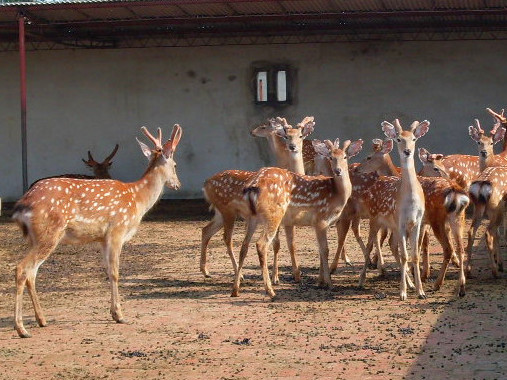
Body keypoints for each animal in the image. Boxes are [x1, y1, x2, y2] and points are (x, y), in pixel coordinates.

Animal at [12, 123, 183, 336]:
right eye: (175, 165)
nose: (178, 184)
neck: (137, 198)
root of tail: (22, 204)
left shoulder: (102, 238)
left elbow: (108, 271)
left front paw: (113, 313)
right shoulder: (117, 229)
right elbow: (116, 271)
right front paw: (120, 315)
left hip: (36, 238)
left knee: (32, 273)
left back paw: (42, 320)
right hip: (49, 233)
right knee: (22, 269)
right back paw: (21, 328)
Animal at [201, 116, 314, 282]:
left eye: (300, 136)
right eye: (286, 136)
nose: (292, 147)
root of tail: (206, 183)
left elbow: (291, 244)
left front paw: (296, 275)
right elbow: (277, 244)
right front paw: (275, 277)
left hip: (220, 212)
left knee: (206, 230)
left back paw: (206, 271)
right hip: (227, 211)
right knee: (226, 238)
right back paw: (239, 274)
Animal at [232, 138, 364, 298]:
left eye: (345, 157)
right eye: (331, 157)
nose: (338, 171)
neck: (337, 195)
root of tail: (253, 185)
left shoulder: (318, 224)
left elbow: (320, 250)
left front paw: (320, 281)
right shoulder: (321, 219)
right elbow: (325, 250)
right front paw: (329, 284)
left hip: (252, 217)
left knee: (244, 246)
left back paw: (235, 290)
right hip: (274, 213)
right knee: (261, 244)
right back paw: (270, 291)